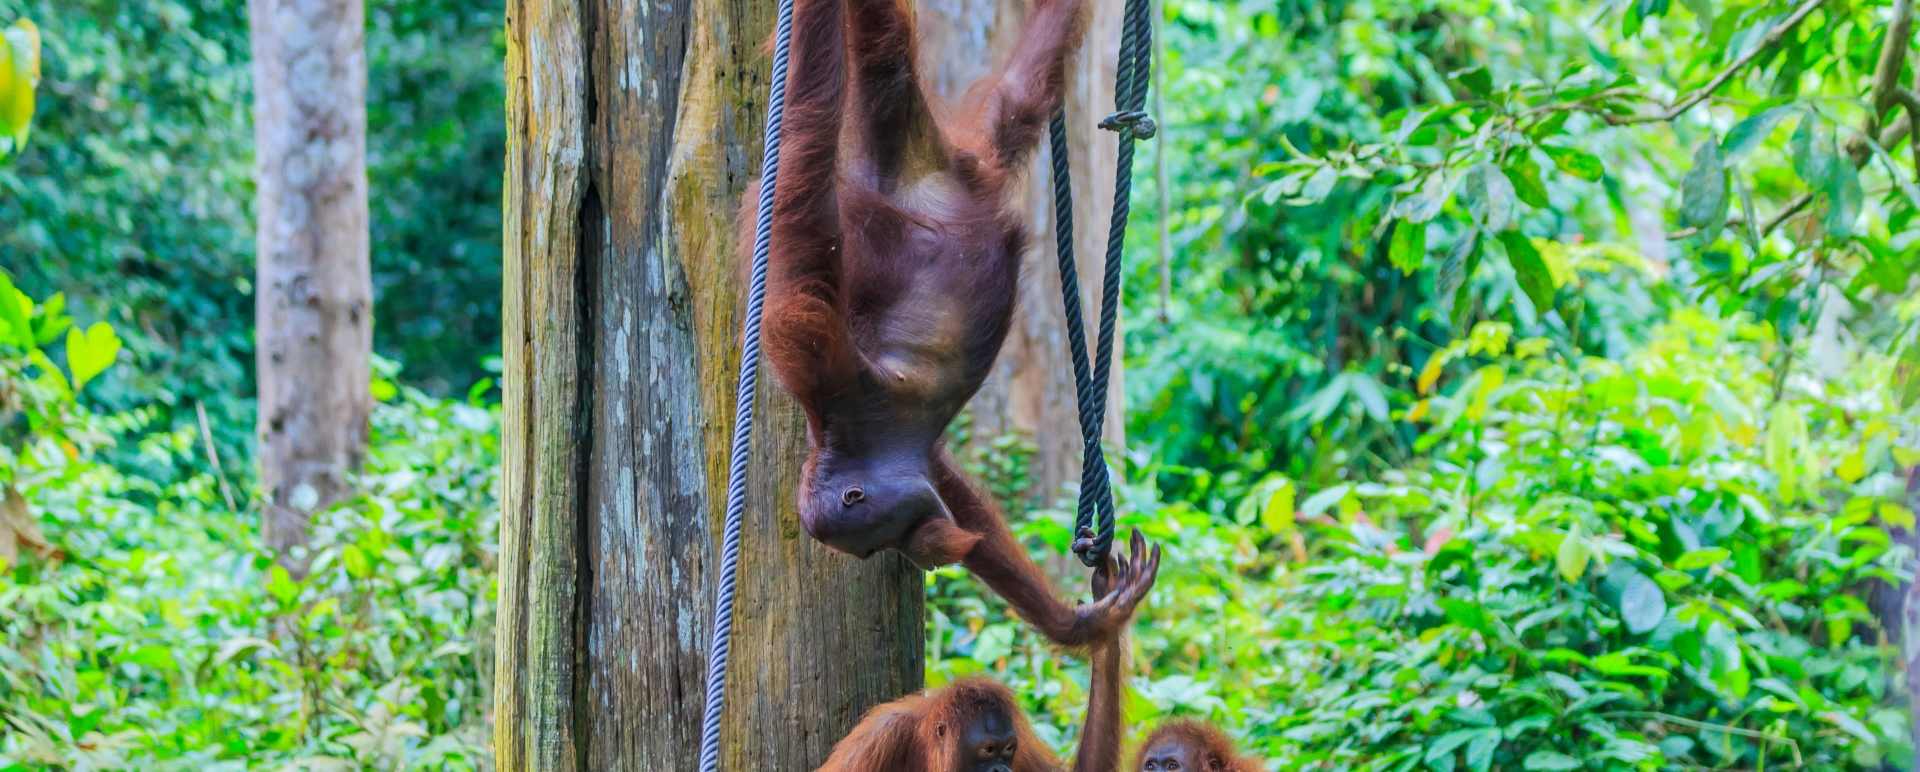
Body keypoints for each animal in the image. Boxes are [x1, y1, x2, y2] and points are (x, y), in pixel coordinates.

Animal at [743, 0, 1153, 646]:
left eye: (872, 541)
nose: (923, 558)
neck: (858, 440)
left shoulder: (823, 361)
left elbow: (800, 233)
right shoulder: (920, 462)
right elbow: (959, 493)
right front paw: (1082, 622)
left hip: (911, 164)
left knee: (861, 83)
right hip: (963, 151)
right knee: (1009, 90)